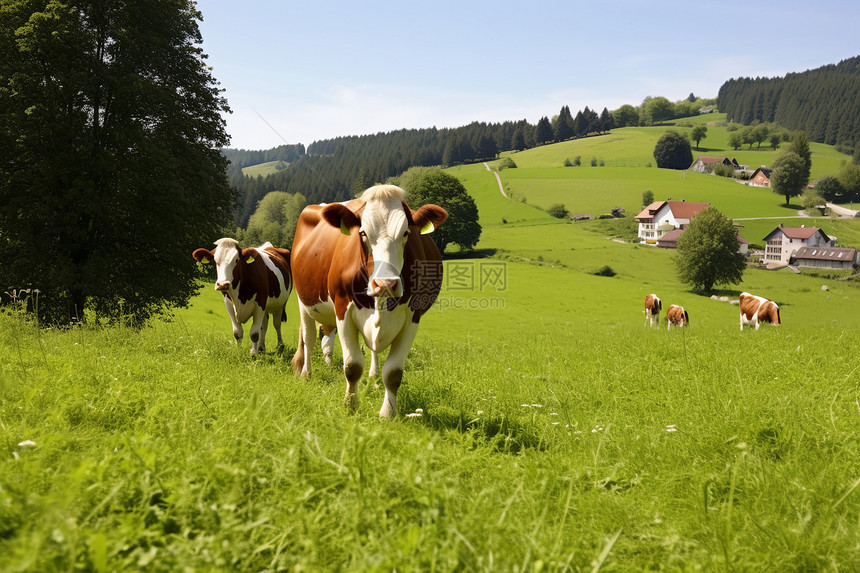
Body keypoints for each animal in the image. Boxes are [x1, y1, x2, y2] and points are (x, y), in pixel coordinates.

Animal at [290, 185, 446, 418]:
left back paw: (373, 377)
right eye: (362, 233)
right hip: (304, 301)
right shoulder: (342, 310)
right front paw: (351, 405)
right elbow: (352, 366)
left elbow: (393, 372)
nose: (385, 283)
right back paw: (306, 374)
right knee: (308, 338)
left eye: (406, 233)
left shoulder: (413, 317)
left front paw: (388, 413)